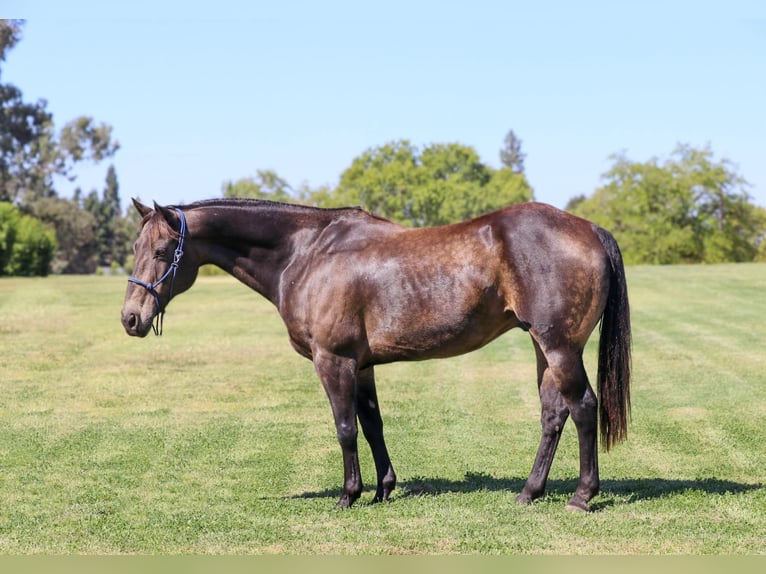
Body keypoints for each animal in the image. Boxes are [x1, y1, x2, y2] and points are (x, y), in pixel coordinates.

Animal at [121, 198, 631, 511]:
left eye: (163, 251)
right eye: (135, 246)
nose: (130, 318)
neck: (306, 254)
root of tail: (590, 229)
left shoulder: (334, 361)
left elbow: (345, 429)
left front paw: (349, 495)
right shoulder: (362, 366)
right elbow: (372, 426)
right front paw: (384, 490)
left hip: (560, 347)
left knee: (583, 408)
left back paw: (582, 496)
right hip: (543, 348)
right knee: (552, 415)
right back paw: (529, 492)